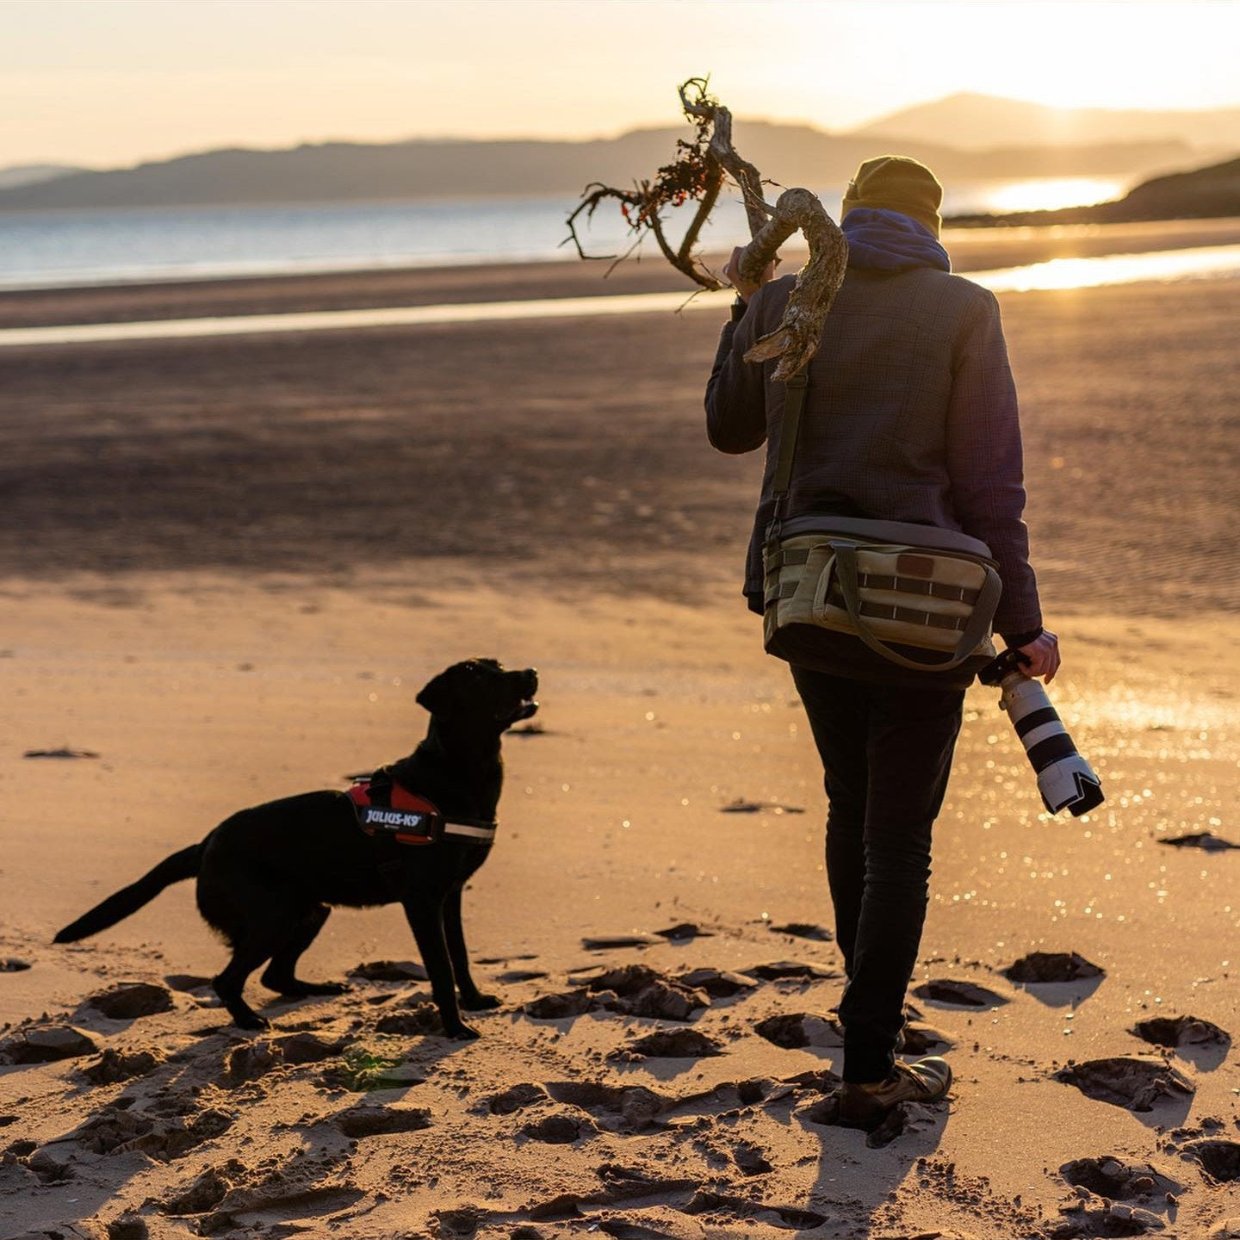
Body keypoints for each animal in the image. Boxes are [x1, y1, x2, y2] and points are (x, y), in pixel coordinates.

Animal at [57, 659, 538, 1036]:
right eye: (480, 677)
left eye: (498, 664)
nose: (531, 672)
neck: (455, 773)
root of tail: (206, 843)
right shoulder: (422, 902)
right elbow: (439, 968)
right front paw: (456, 1028)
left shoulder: (450, 897)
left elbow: (460, 956)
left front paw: (474, 1001)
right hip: (274, 916)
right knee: (227, 980)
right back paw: (248, 1020)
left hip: (309, 910)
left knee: (276, 975)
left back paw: (316, 989)